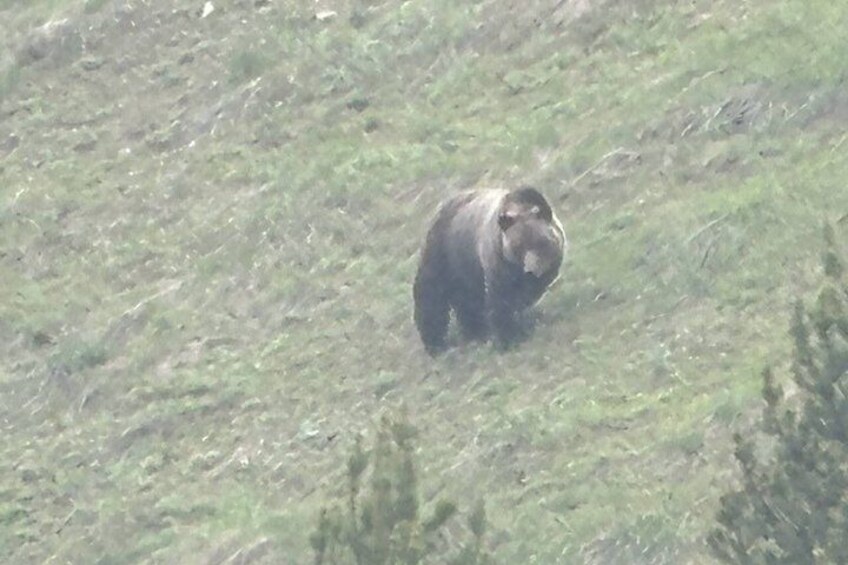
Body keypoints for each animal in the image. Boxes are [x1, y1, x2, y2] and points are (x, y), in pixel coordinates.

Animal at [413, 186, 567, 354]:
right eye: (519, 247)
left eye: (538, 242)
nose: (531, 270)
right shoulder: (497, 262)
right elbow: (501, 300)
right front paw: (508, 337)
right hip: (445, 255)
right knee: (431, 297)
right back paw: (436, 344)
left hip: (465, 270)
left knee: (467, 301)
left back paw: (474, 331)